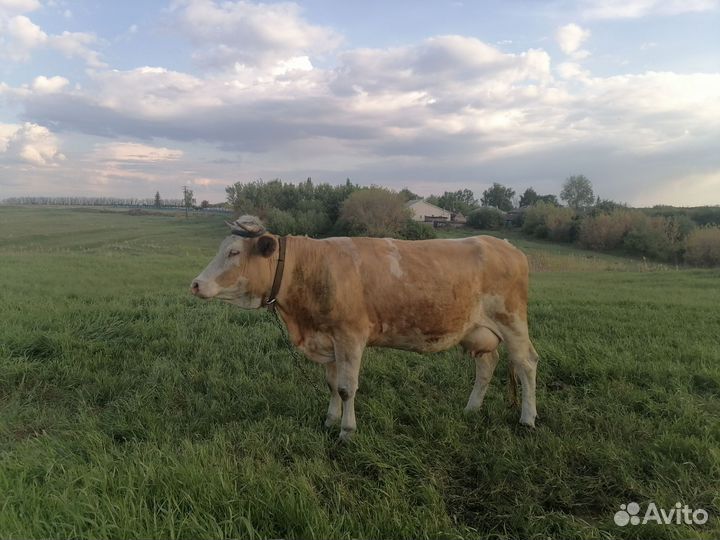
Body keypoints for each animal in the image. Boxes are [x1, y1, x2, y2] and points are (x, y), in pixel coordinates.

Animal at [191, 215, 538, 441]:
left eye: (234, 252)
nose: (195, 284)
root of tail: (504, 245)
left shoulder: (350, 336)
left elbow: (347, 387)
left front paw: (347, 431)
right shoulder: (328, 339)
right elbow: (332, 385)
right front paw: (330, 420)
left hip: (511, 320)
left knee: (525, 363)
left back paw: (527, 418)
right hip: (478, 330)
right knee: (487, 365)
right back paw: (471, 409)